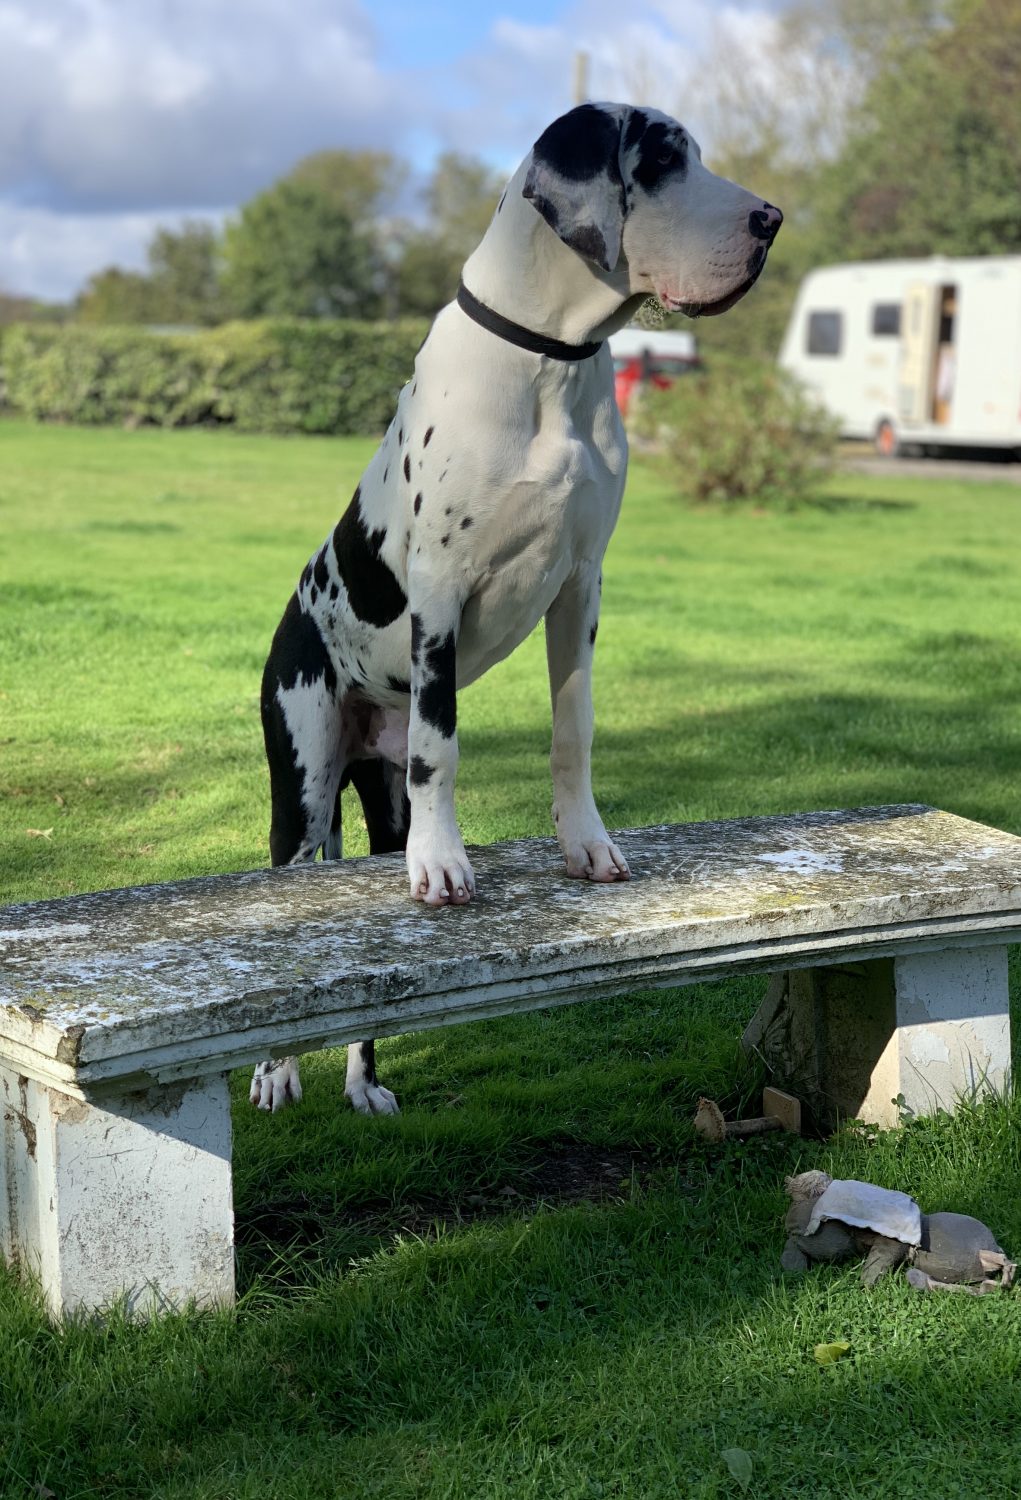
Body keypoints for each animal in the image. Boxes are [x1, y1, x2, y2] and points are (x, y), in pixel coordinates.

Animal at [250, 102, 781, 1114]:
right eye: (660, 161)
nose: (771, 219)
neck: (548, 363)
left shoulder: (581, 586)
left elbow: (572, 731)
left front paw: (586, 845)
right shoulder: (441, 598)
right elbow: (442, 750)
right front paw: (446, 864)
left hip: (375, 800)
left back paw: (363, 1081)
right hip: (302, 778)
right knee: (292, 883)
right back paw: (275, 1070)